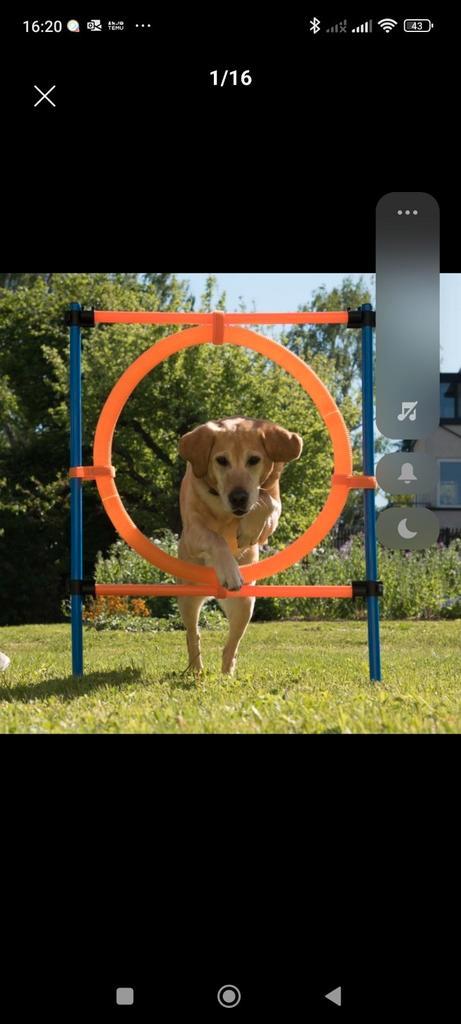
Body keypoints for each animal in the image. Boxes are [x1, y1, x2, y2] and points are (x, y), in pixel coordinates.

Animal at [176, 419, 303, 675]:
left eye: (253, 459)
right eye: (221, 460)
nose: (238, 497)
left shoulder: (272, 509)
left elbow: (267, 502)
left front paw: (248, 531)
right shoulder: (194, 530)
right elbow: (215, 538)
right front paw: (230, 571)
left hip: (246, 604)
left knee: (231, 646)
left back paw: (227, 675)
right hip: (188, 598)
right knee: (193, 635)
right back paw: (196, 670)